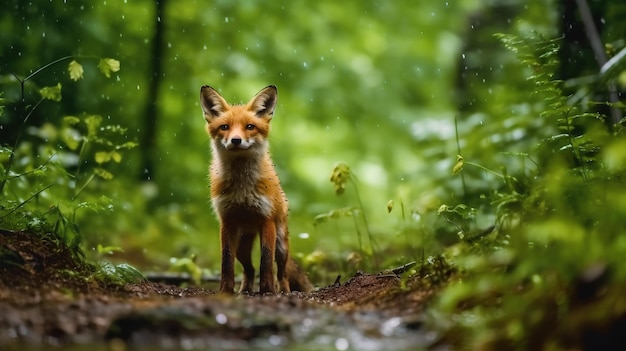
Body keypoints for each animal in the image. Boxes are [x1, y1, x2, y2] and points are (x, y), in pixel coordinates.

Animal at [200, 86, 312, 296]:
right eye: (224, 127)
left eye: (250, 127)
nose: (236, 140)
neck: (242, 187)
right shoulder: (227, 222)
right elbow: (226, 262)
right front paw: (225, 291)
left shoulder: (266, 220)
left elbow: (266, 262)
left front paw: (267, 291)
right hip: (241, 248)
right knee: (248, 269)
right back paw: (244, 289)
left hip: (281, 245)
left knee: (282, 273)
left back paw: (283, 290)